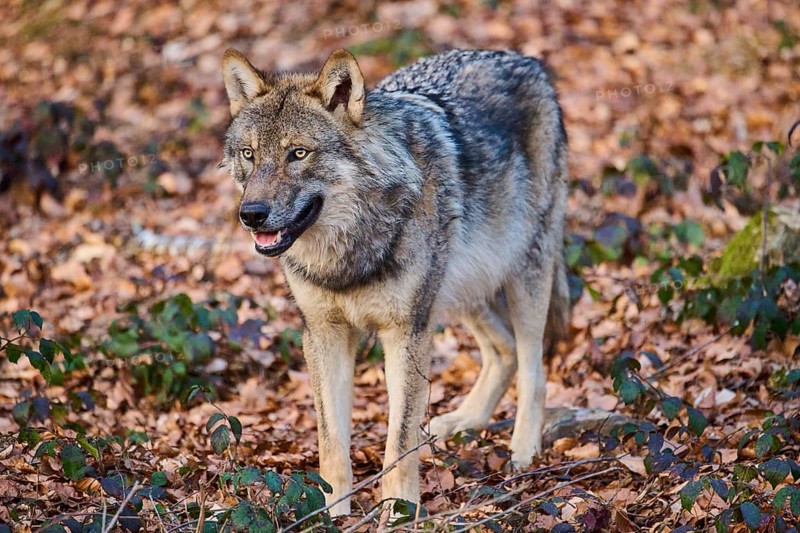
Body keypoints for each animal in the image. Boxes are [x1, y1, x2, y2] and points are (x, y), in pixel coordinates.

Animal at [221, 47, 570, 516]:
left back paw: (523, 449)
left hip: (520, 274)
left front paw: (400, 513)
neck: (348, 253)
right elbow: (332, 444)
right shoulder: (324, 334)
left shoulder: (405, 332)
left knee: (534, 365)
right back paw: (464, 420)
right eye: (249, 154)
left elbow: (399, 444)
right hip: (458, 289)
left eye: (298, 153)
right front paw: (333, 514)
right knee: (504, 351)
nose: (251, 214)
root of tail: (526, 60)